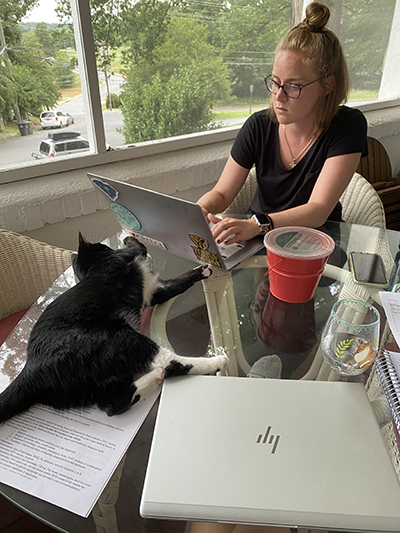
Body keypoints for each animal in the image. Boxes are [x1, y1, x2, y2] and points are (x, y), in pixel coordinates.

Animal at [0, 234, 228, 424]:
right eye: (100, 246)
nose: (104, 245)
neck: (94, 269)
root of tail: (31, 369)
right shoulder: (125, 259)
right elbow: (140, 247)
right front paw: (129, 237)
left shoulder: (157, 291)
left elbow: (181, 281)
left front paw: (202, 270)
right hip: (118, 338)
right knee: (170, 362)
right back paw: (215, 361)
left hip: (86, 386)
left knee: (112, 405)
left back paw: (153, 379)